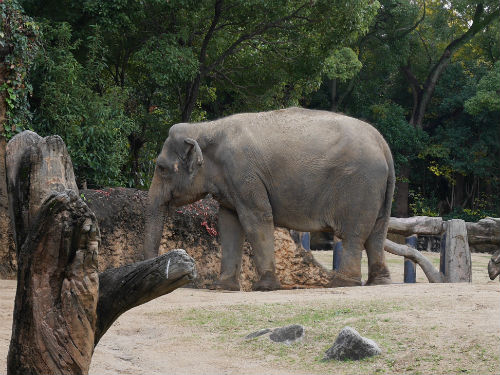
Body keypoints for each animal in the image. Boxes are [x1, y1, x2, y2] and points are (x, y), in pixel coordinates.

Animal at [144, 107, 394, 292]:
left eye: (161, 168)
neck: (206, 127)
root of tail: (383, 144)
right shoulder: (231, 181)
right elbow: (228, 223)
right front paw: (222, 287)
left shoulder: (244, 173)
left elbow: (256, 218)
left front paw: (264, 287)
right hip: (378, 190)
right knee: (377, 232)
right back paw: (378, 282)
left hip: (359, 186)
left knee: (354, 235)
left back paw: (341, 283)